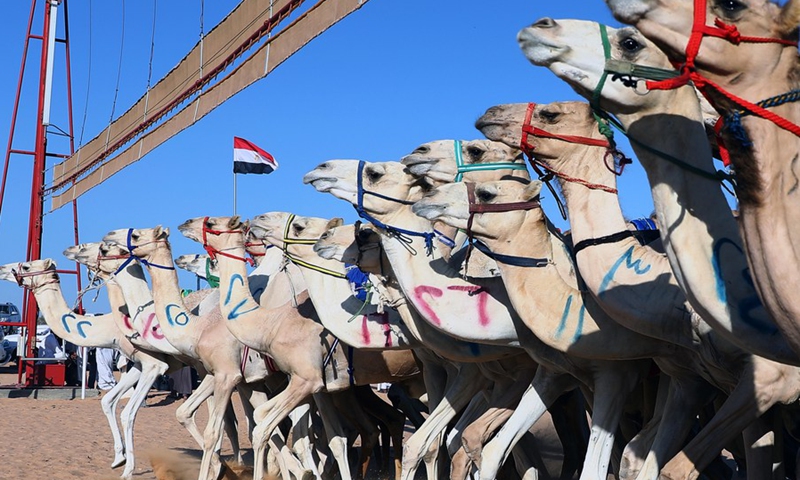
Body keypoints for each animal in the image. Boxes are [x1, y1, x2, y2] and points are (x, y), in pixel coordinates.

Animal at [0, 258, 182, 480]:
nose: (3, 269)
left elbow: (128, 413)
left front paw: (128, 469)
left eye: (26, 266)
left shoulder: (155, 364)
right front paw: (119, 459)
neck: (109, 328)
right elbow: (107, 401)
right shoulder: (139, 364)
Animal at [115, 220, 422, 480]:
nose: (109, 244)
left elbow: (236, 429)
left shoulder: (231, 375)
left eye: (136, 236)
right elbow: (250, 426)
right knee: (374, 424)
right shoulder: (246, 381)